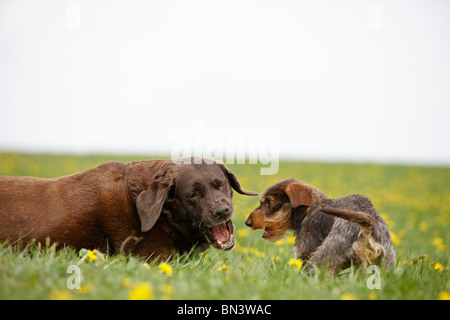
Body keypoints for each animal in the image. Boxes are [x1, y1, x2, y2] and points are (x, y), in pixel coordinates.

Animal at [244, 179, 396, 272]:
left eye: (269, 202)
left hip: (323, 257)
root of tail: (368, 224)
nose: (247, 222)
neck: (310, 210)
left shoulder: (307, 254)